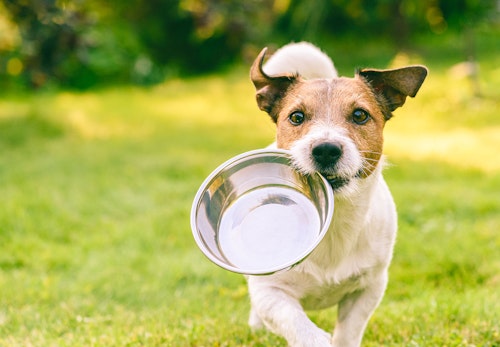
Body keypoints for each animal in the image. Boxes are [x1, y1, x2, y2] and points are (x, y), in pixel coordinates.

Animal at [248, 42, 428, 346]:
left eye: (360, 115)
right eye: (296, 117)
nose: (325, 149)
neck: (334, 221)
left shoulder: (369, 288)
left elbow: (348, 332)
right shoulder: (270, 292)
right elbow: (300, 327)